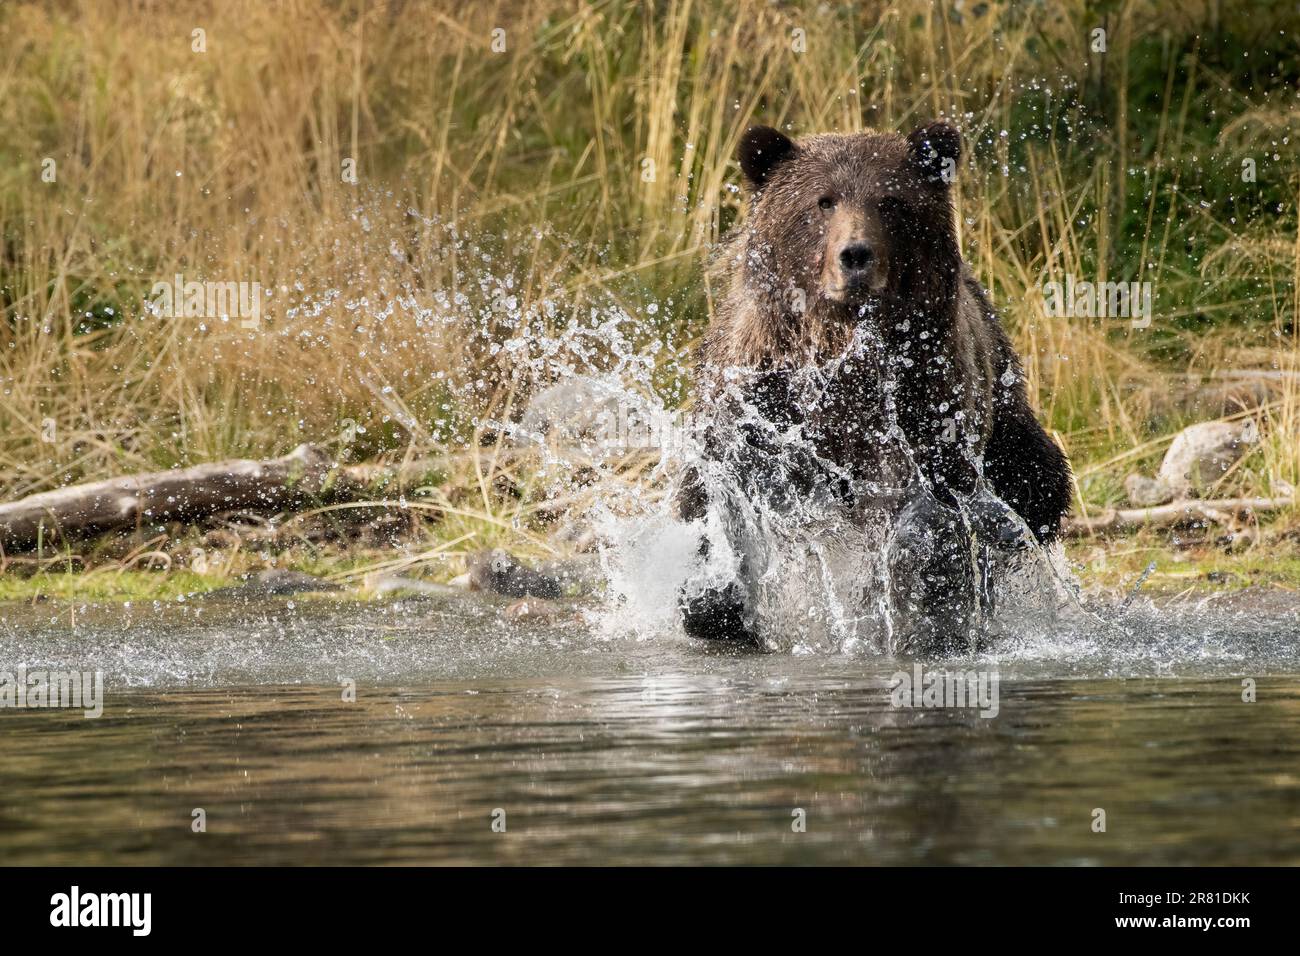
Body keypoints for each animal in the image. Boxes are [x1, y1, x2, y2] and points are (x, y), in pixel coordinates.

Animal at [676, 121, 1071, 658]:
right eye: (823, 201)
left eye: (890, 201)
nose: (856, 255)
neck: (842, 346)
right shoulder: (760, 396)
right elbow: (724, 493)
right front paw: (716, 600)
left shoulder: (924, 398)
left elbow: (929, 514)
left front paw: (924, 618)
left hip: (1007, 409)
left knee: (1035, 484)